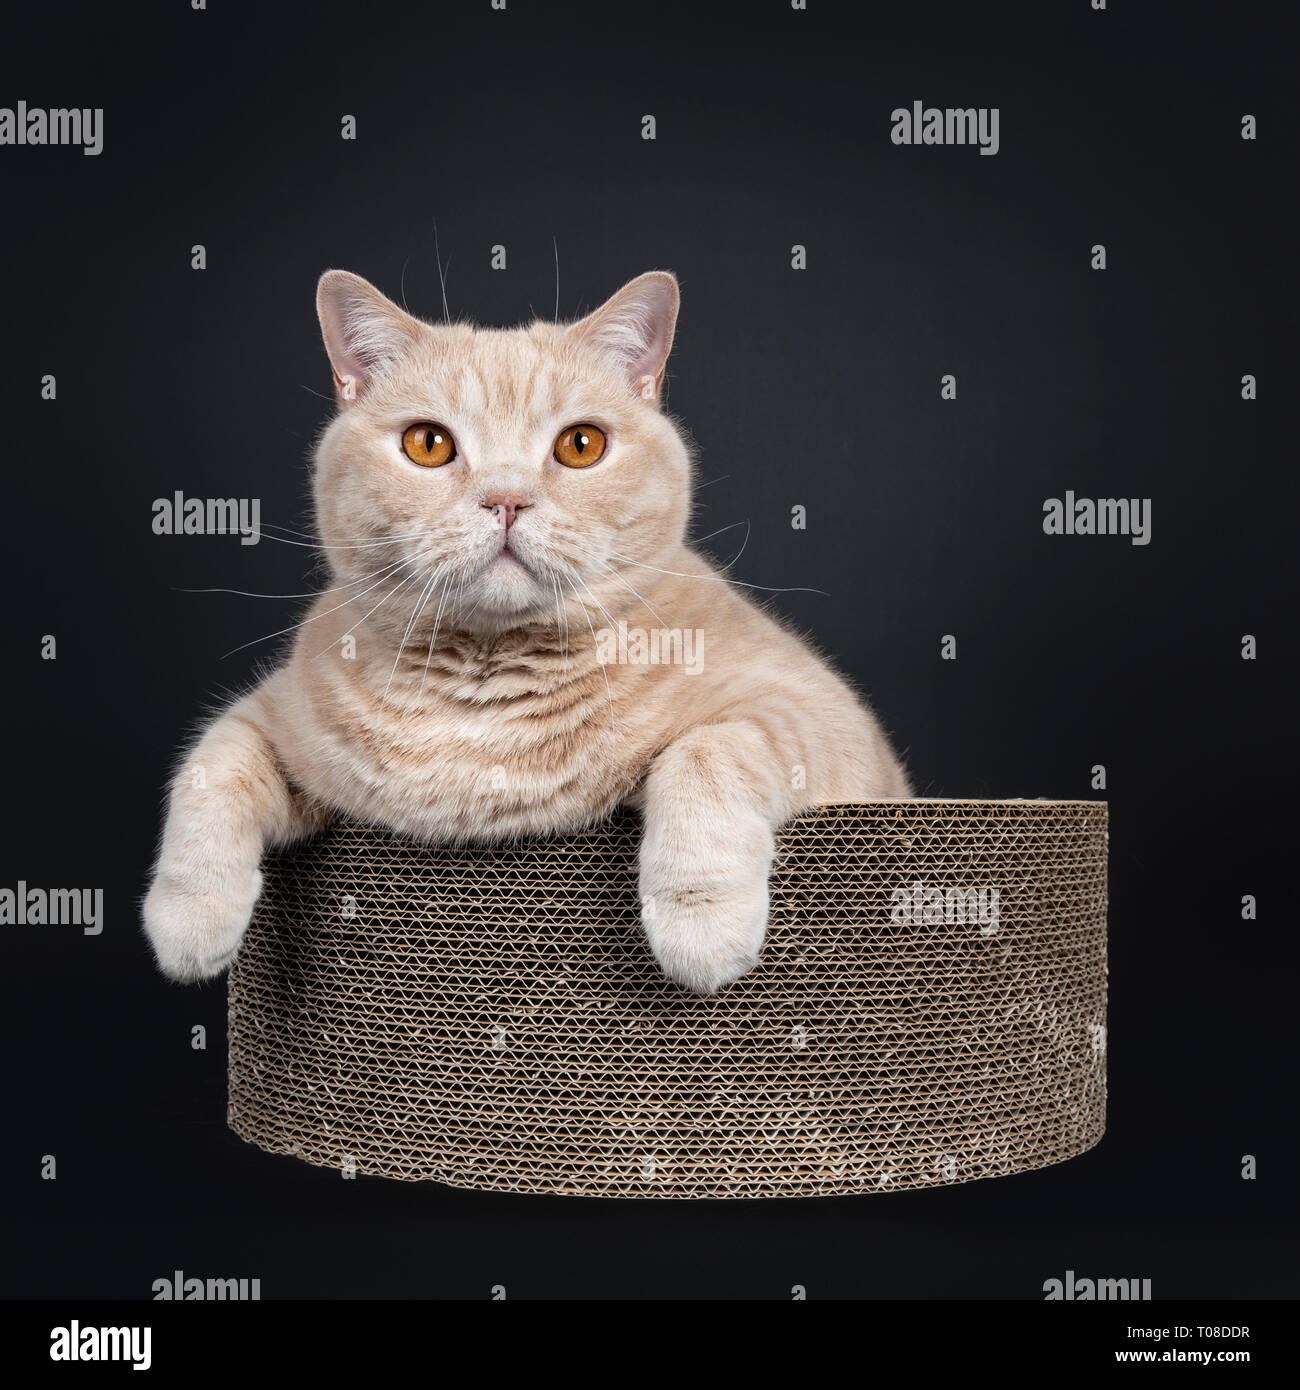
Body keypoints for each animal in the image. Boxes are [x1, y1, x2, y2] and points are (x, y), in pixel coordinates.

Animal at [142, 268, 912, 989]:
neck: (484, 679)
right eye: (429, 444)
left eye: (581, 444)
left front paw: (701, 919)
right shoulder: (277, 715)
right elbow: (210, 766)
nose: (507, 499)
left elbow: (707, 752)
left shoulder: (818, 715)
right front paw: (189, 918)